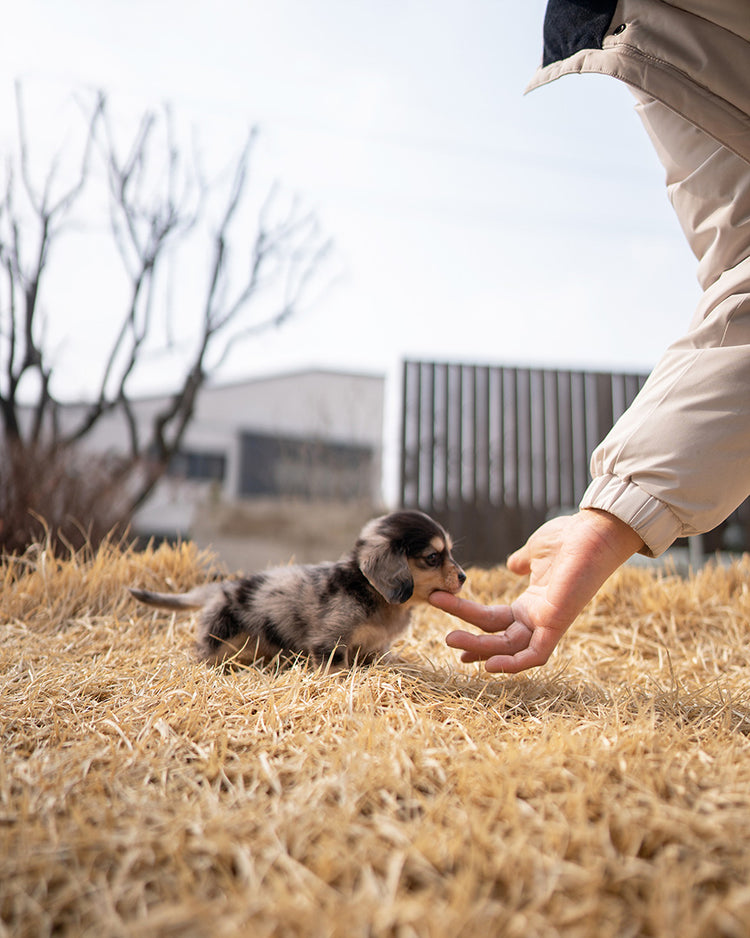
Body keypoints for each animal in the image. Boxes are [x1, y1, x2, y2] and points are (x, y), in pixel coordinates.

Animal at [132, 512, 468, 664]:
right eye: (433, 557)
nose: (464, 577)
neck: (373, 594)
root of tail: (220, 589)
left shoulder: (375, 647)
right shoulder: (329, 644)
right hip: (217, 637)